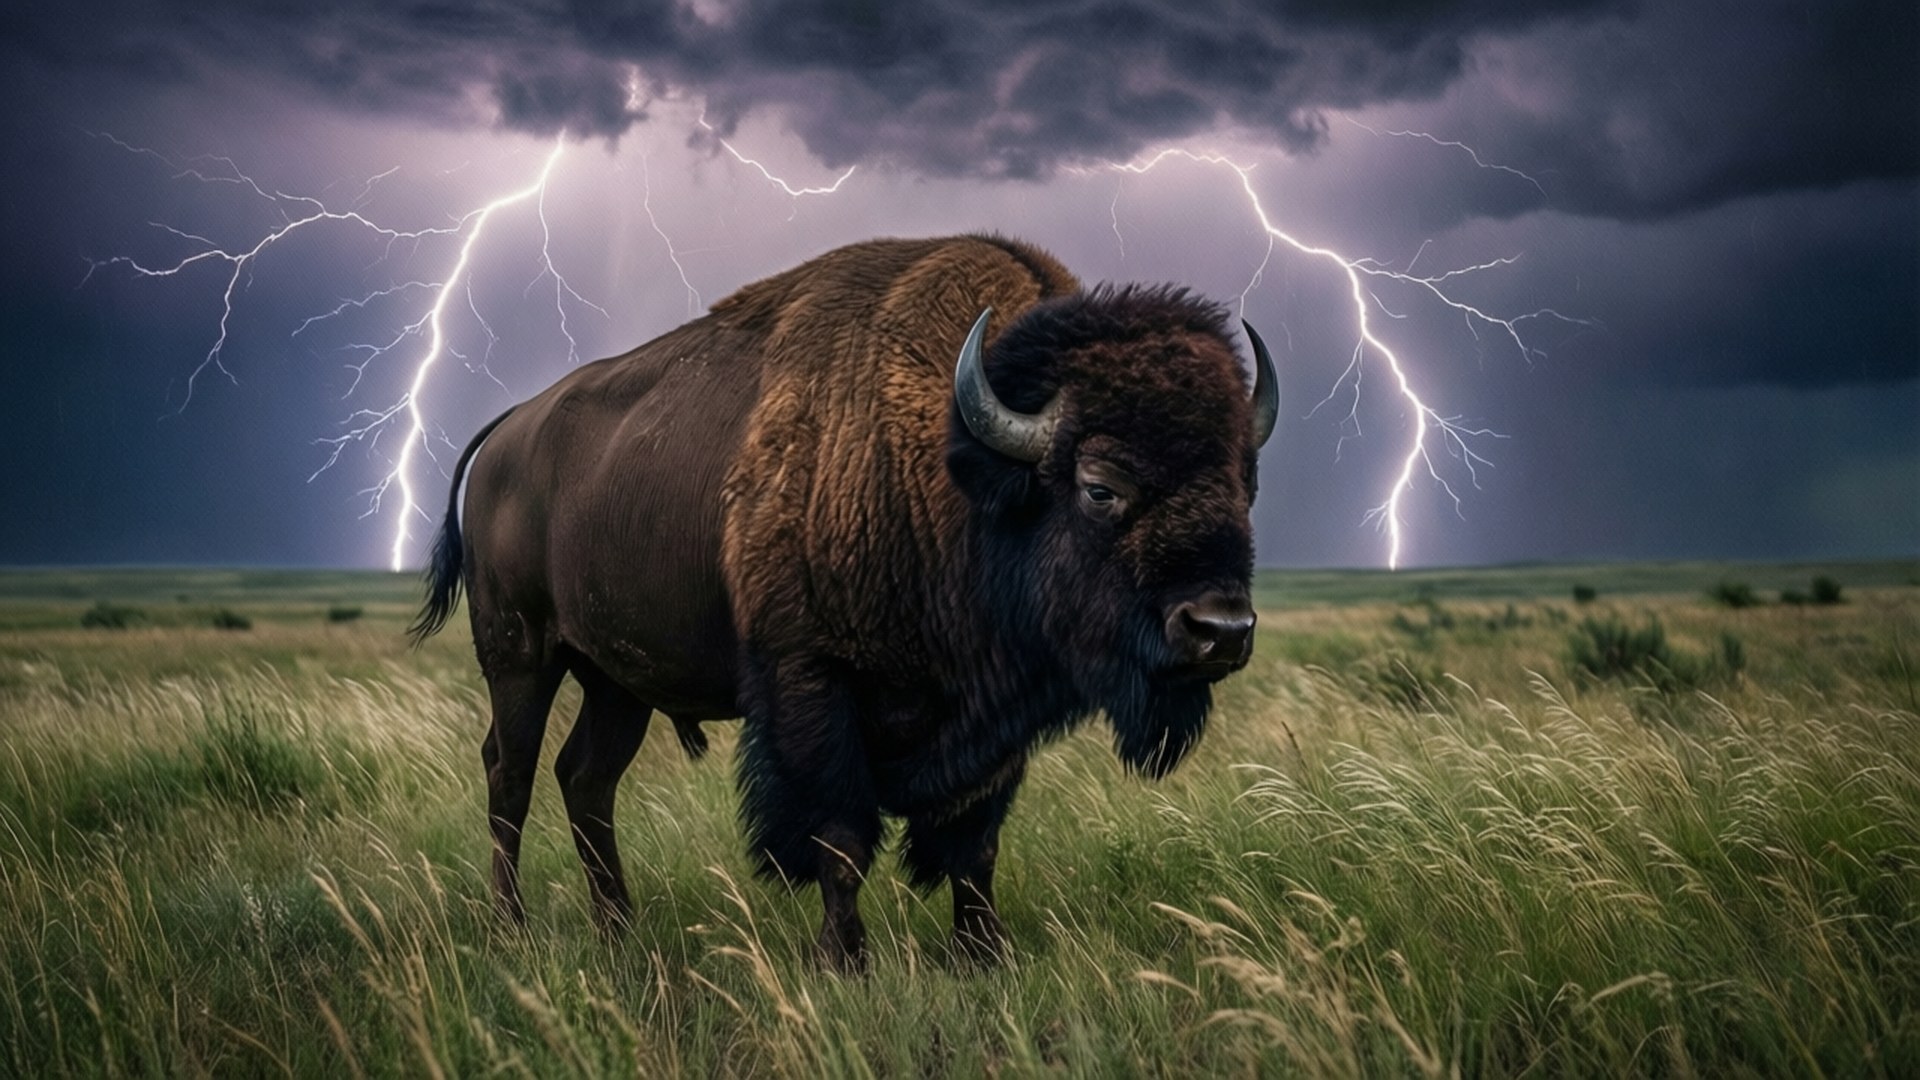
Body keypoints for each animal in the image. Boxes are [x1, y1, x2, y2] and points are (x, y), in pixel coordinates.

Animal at [412, 235, 1276, 969]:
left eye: (1245, 483)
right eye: (1100, 487)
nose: (1221, 629)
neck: (954, 469)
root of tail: (507, 434)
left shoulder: (997, 715)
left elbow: (976, 843)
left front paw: (983, 953)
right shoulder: (814, 684)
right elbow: (841, 836)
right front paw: (843, 959)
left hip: (616, 682)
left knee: (586, 778)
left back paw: (620, 928)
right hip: (521, 655)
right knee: (510, 774)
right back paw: (511, 927)